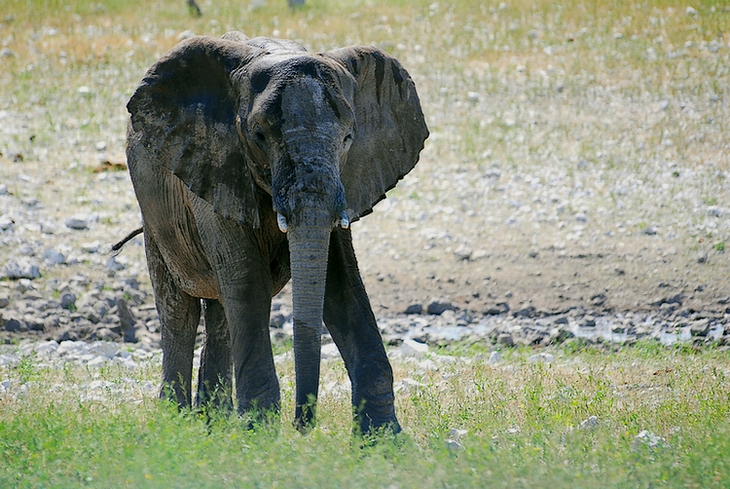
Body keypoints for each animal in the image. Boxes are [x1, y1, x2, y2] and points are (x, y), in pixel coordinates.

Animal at [125, 30, 426, 432]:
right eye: (259, 136)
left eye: (348, 138)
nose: (303, 423)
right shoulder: (217, 164)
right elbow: (247, 281)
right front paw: (259, 434)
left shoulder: (346, 181)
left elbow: (341, 281)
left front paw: (384, 438)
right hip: (155, 210)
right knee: (180, 309)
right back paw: (176, 421)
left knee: (220, 313)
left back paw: (213, 424)